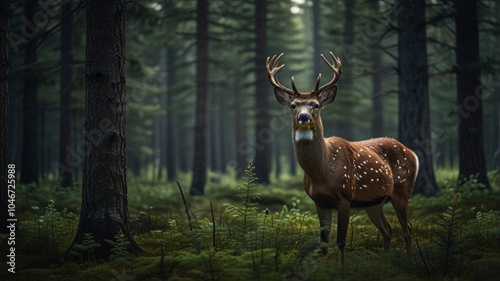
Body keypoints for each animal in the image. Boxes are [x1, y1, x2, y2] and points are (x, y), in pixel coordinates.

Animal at [266, 52, 418, 260]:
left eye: (316, 105)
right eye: (293, 105)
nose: (304, 117)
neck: (321, 173)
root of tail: (413, 153)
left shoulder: (345, 197)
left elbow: (340, 242)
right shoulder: (319, 202)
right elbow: (323, 243)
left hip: (402, 190)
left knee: (407, 230)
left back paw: (409, 260)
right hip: (374, 203)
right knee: (387, 230)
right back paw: (384, 259)